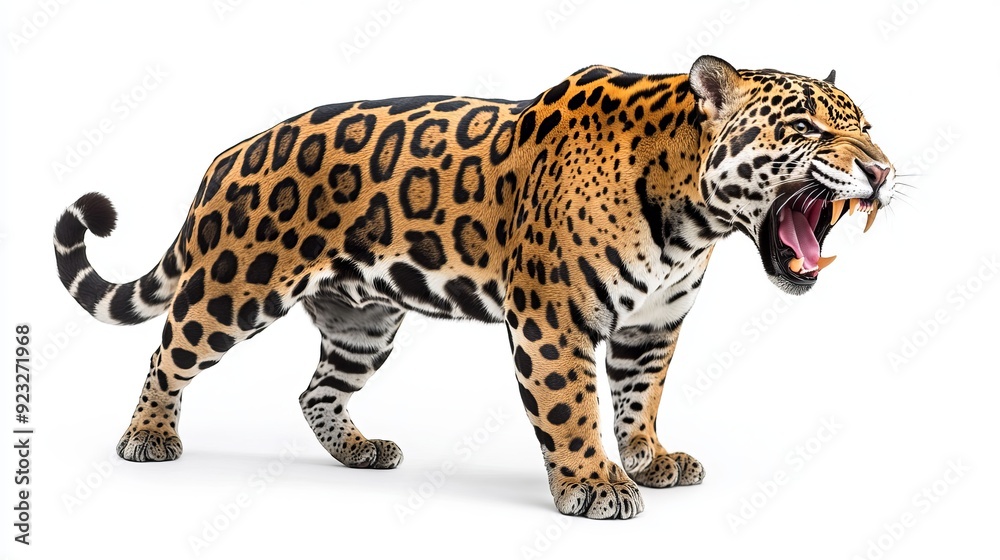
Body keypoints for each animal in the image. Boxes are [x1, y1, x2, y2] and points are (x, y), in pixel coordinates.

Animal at [53, 55, 895, 519]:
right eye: (808, 129)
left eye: (867, 126)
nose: (884, 171)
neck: (691, 215)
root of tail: (225, 155)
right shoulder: (553, 318)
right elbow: (571, 408)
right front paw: (596, 485)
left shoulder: (651, 327)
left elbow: (638, 400)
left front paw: (649, 459)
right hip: (234, 285)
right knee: (168, 352)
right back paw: (149, 437)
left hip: (363, 323)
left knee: (315, 391)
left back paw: (360, 450)